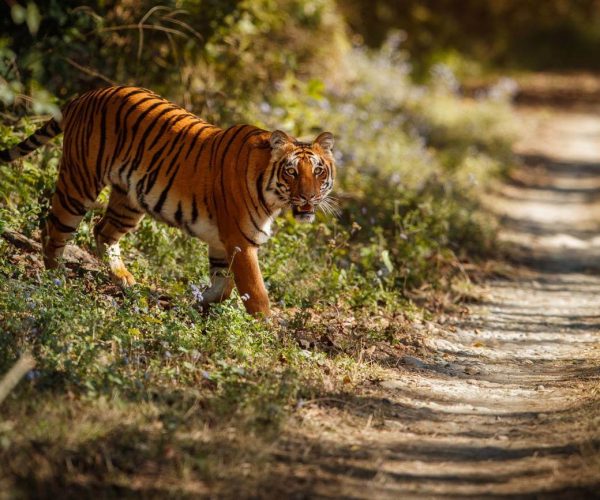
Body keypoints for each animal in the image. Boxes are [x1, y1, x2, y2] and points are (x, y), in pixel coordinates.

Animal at [0, 84, 336, 314]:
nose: (308, 196)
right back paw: (55, 282)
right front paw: (267, 335)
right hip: (79, 183)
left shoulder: (222, 241)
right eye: (291, 172)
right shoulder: (241, 242)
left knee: (102, 231)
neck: (273, 199)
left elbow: (223, 285)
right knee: (54, 230)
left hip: (129, 201)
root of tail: (86, 95)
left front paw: (196, 302)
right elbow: (256, 294)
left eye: (318, 171)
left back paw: (124, 279)